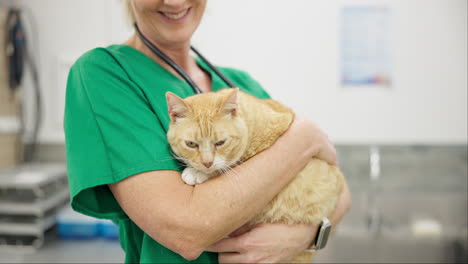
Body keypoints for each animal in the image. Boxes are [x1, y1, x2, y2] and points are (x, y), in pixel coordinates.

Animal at [166, 88, 342, 262]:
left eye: (220, 142)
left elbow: (229, 165)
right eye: (191, 144)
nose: (207, 163)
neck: (249, 124)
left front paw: (197, 172)